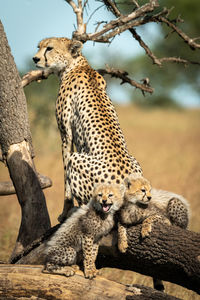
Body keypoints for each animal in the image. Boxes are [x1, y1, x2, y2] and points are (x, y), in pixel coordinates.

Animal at [32, 37, 141, 220]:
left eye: (49, 48)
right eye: (38, 47)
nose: (35, 59)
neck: (75, 65)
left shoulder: (66, 135)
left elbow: (66, 180)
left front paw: (65, 211)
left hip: (78, 160)